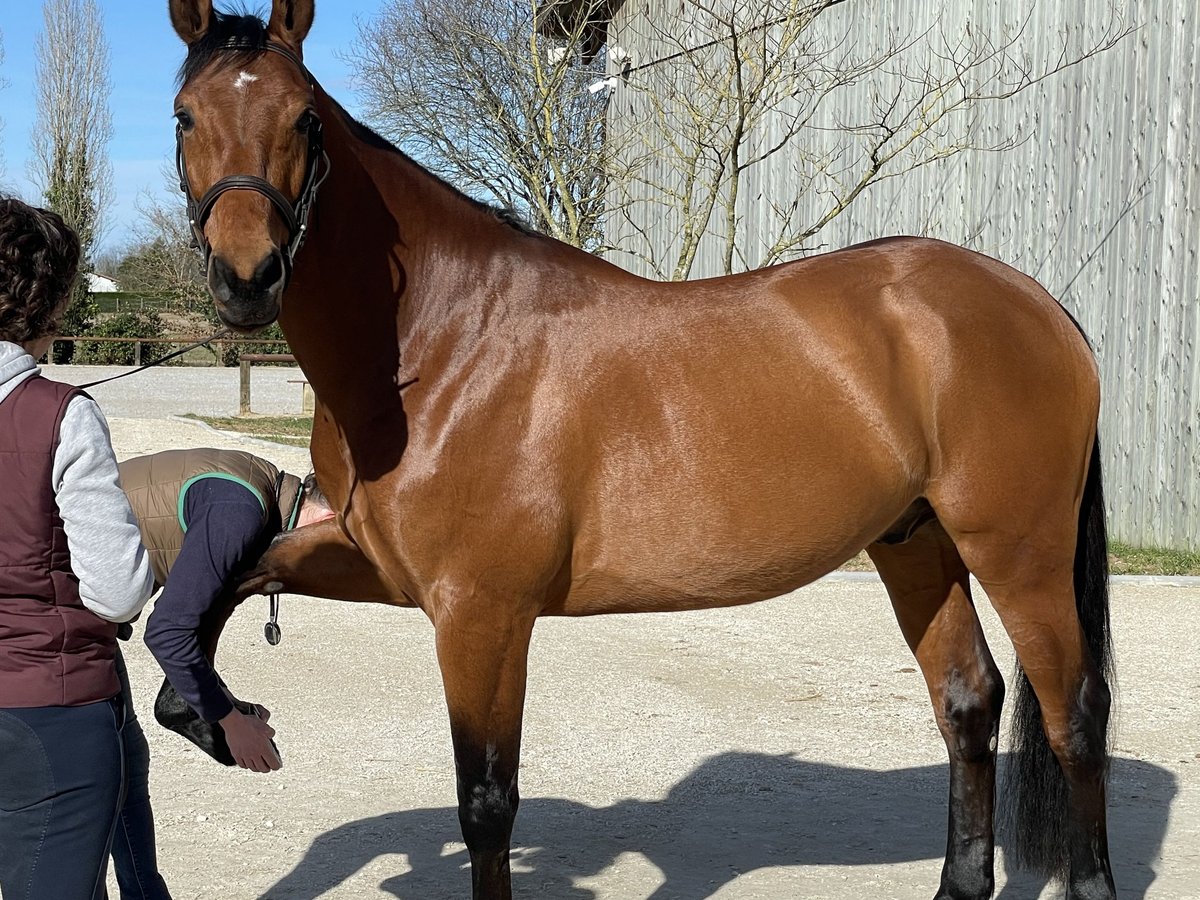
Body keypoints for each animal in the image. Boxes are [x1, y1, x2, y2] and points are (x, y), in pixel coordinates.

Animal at [166, 3, 1113, 897]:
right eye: (184, 116)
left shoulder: (481, 615)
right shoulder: (382, 569)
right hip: (917, 543)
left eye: (304, 119)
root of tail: (1038, 304)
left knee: (1075, 716)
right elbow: (241, 571)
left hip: (1019, 552)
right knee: (968, 703)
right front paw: (198, 710)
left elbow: (486, 805)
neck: (442, 342)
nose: (246, 279)